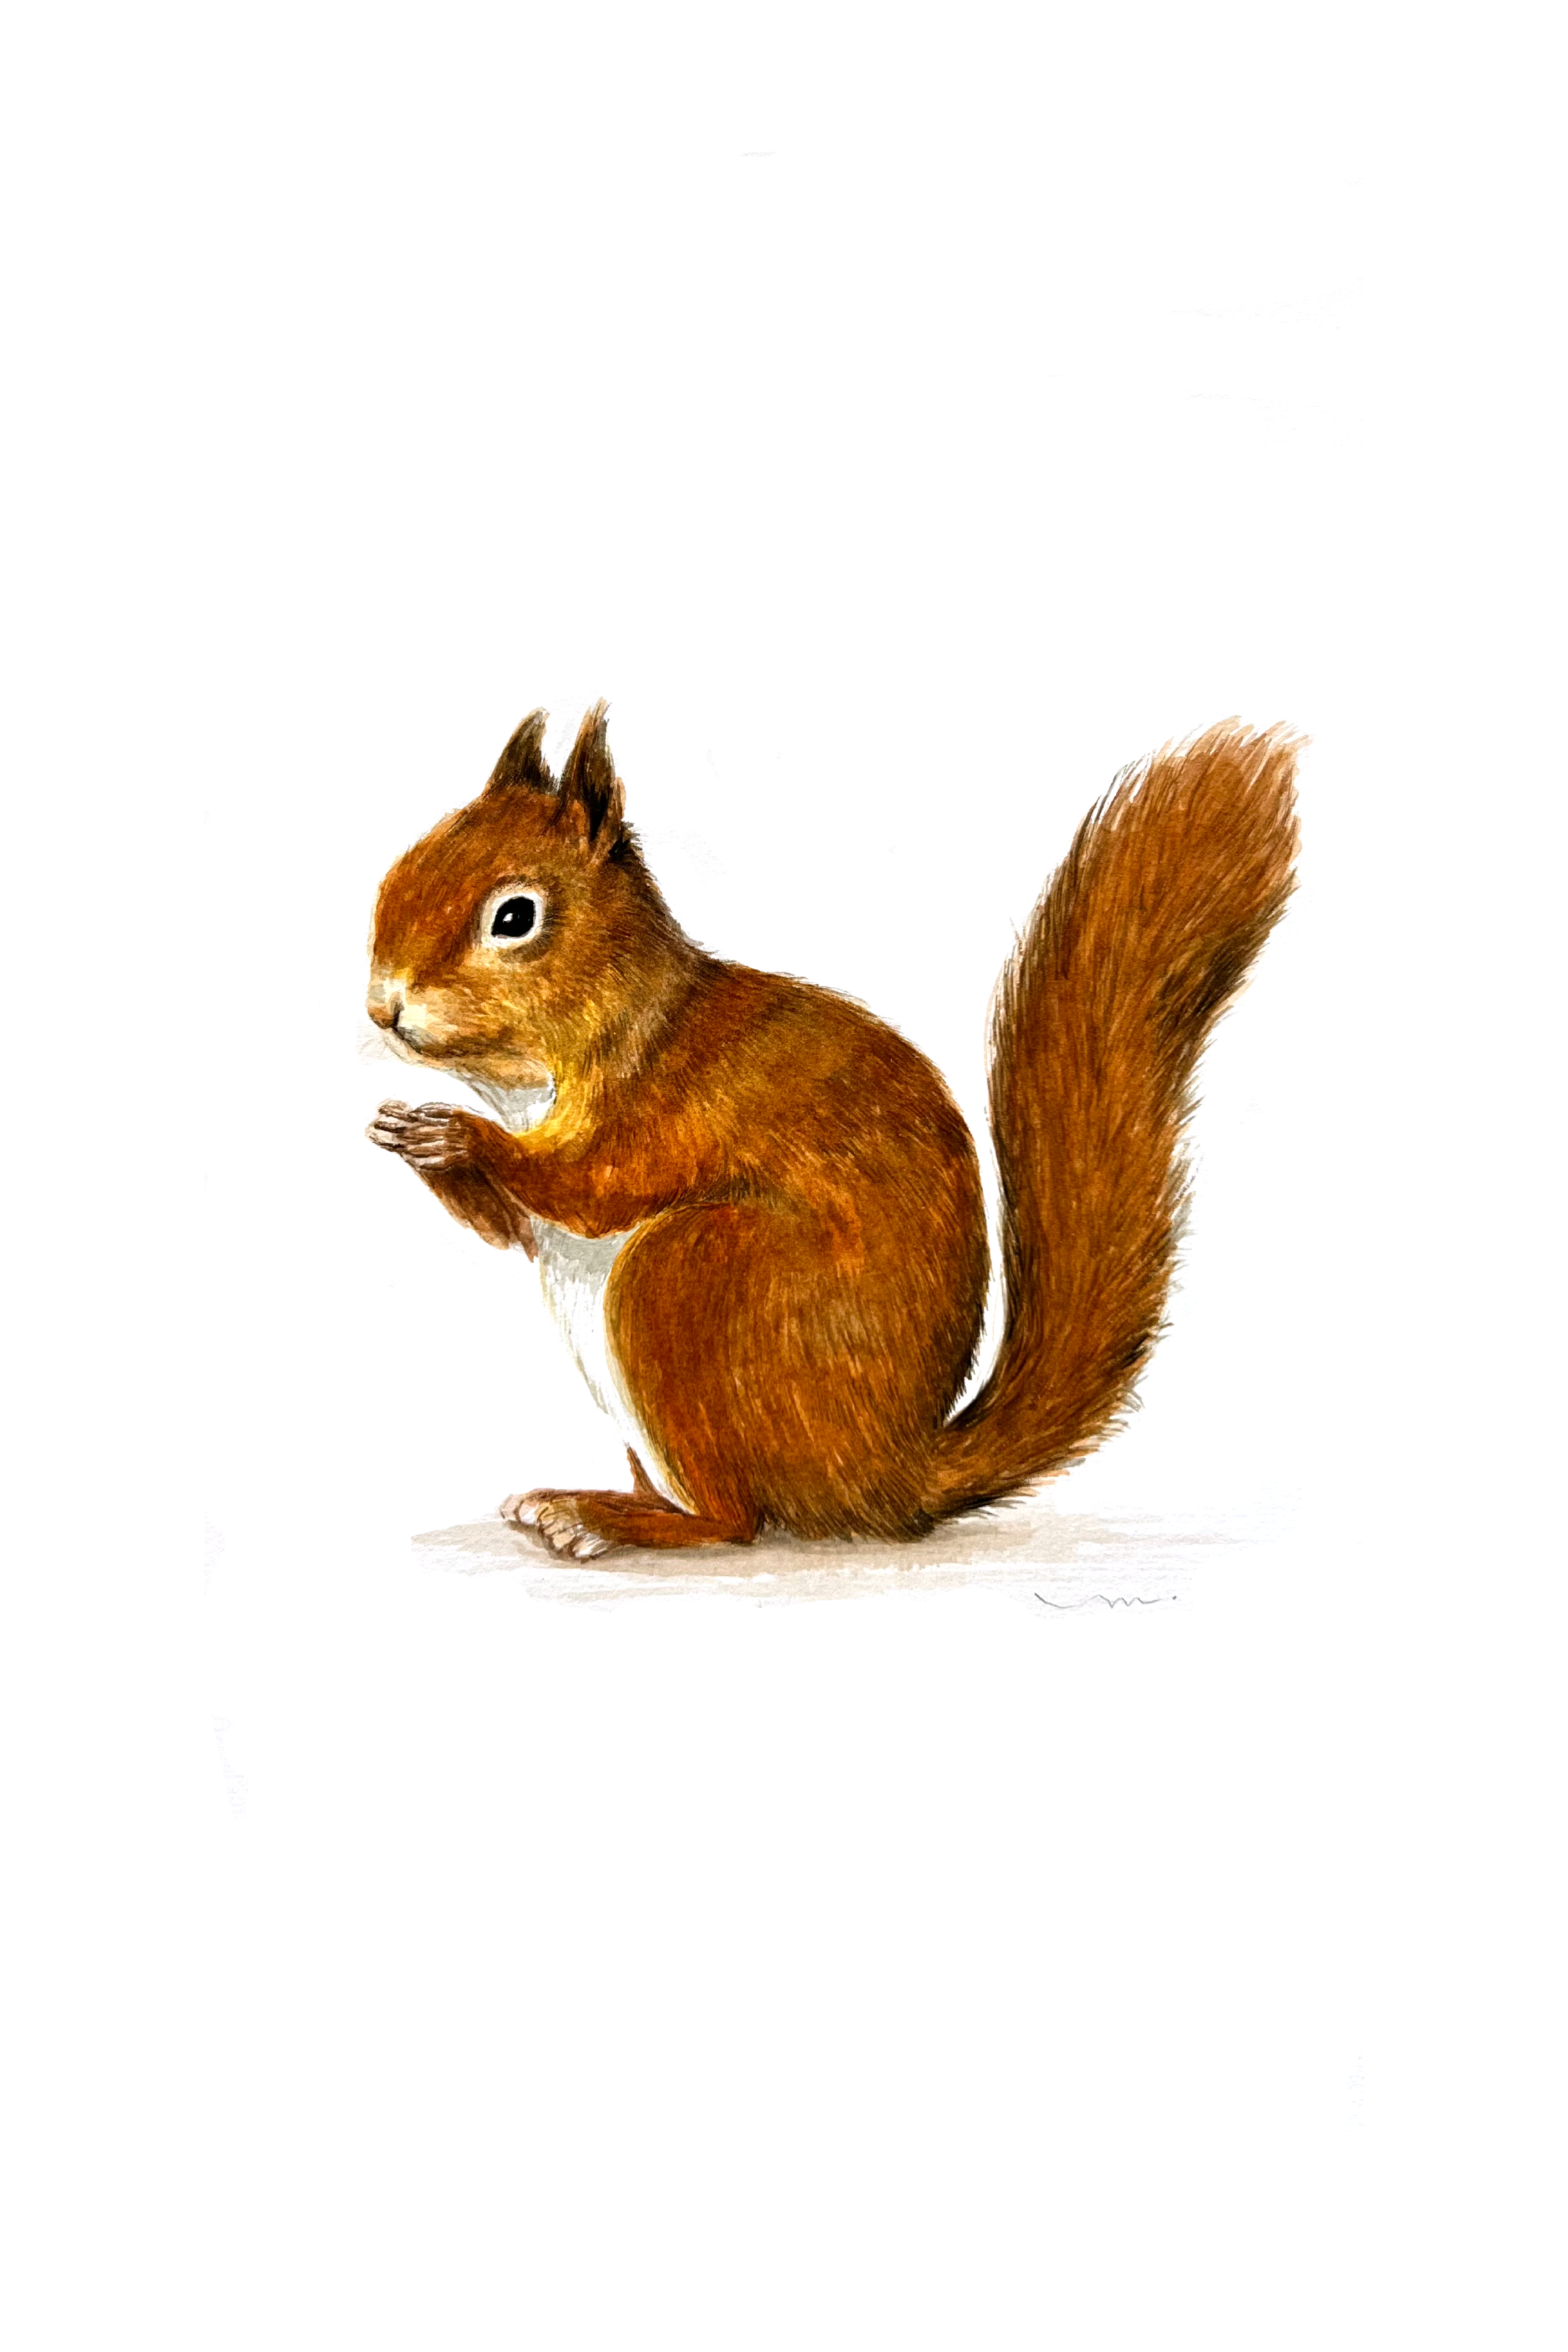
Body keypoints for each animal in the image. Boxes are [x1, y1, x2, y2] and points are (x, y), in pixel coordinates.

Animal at [367, 707, 1299, 1561]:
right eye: (404, 867)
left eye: (514, 917)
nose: (383, 1006)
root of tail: (886, 1478)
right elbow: (513, 1229)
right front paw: (411, 1138)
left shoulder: (668, 1107)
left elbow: (594, 1187)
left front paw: (461, 1136)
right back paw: (589, 1501)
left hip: (696, 1277)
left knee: (734, 1521)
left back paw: (610, 1523)